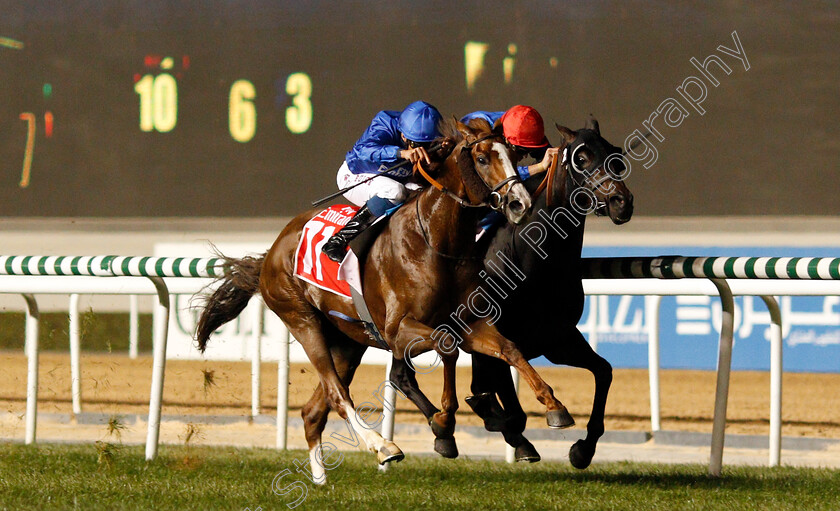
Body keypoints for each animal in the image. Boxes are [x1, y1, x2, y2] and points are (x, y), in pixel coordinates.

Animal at [194, 118, 536, 486]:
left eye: (513, 153)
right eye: (483, 158)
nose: (520, 202)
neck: (434, 240)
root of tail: (271, 253)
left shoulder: (464, 320)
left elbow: (493, 347)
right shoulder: (398, 331)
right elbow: (446, 347)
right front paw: (445, 424)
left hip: (348, 340)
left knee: (313, 410)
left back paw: (321, 479)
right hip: (302, 320)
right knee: (336, 394)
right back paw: (383, 445)